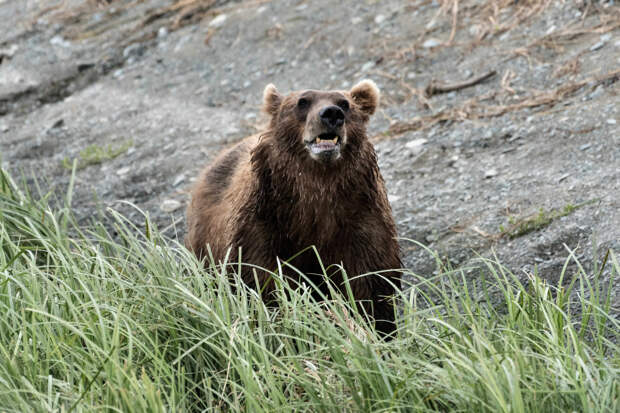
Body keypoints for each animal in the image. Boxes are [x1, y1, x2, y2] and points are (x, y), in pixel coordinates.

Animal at [185, 79, 402, 334]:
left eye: (344, 104)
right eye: (302, 101)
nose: (331, 114)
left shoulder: (360, 218)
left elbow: (370, 280)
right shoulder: (264, 224)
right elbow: (262, 280)